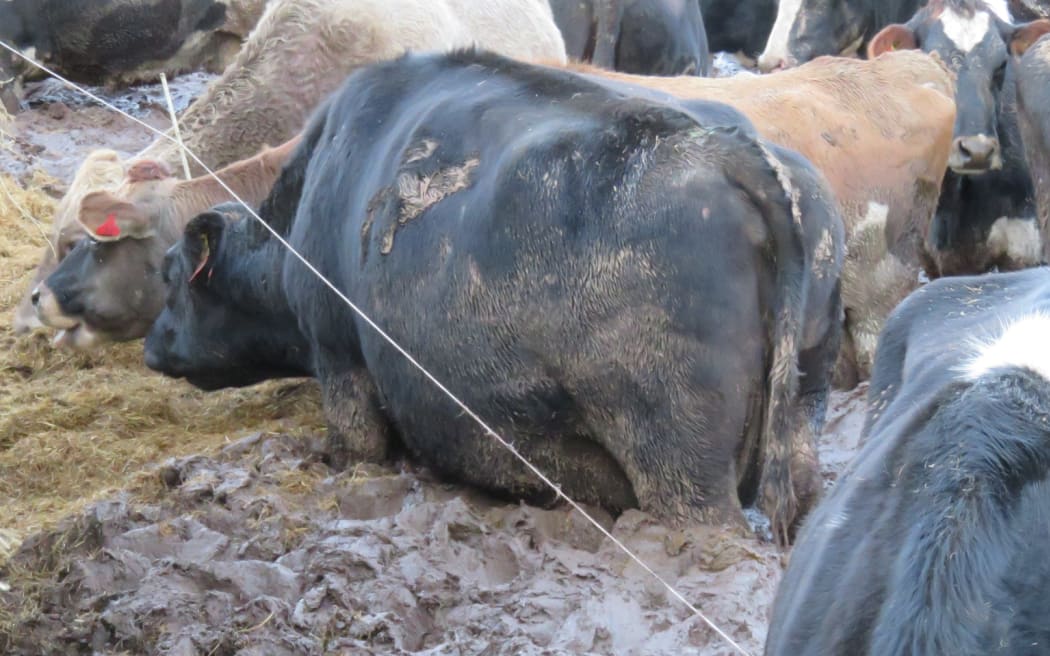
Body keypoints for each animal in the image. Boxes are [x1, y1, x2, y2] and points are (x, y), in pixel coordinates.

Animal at [144, 49, 845, 544]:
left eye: (170, 274)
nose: (149, 346)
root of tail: (728, 149)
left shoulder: (341, 363)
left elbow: (354, 448)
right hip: (803, 409)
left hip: (678, 465)